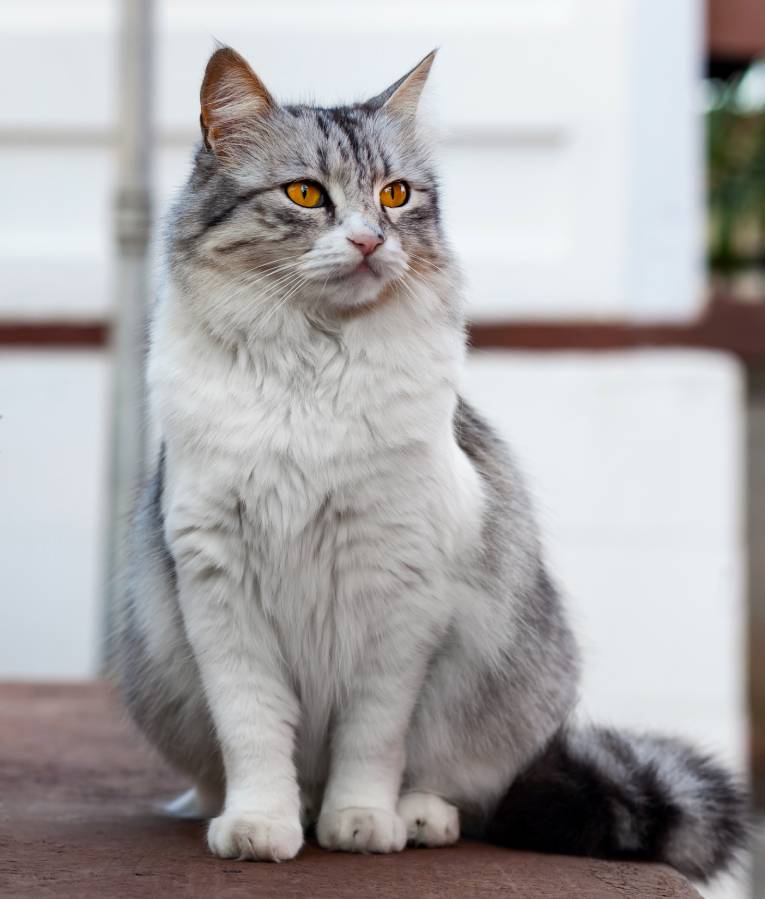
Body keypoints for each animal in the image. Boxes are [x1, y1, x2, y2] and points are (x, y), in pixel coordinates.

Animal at [113, 45, 748, 884]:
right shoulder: (219, 586)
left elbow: (372, 738)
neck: (310, 361)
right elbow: (253, 732)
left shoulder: (401, 591)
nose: (369, 241)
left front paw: (361, 821)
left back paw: (415, 817)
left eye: (396, 194)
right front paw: (260, 824)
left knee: (459, 788)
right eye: (306, 193)